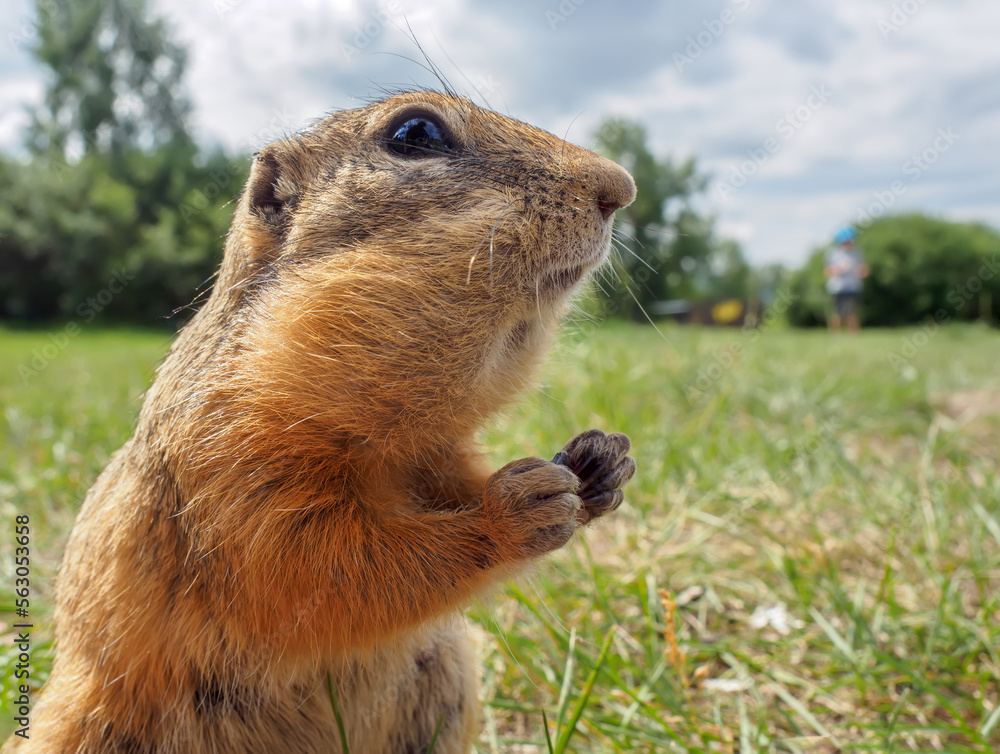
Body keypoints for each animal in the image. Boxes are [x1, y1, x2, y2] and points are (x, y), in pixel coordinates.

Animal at [7, 91, 636, 748]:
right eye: (416, 132)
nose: (621, 187)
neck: (385, 439)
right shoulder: (235, 468)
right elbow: (327, 570)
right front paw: (515, 512)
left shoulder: (436, 453)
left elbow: (455, 486)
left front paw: (601, 462)